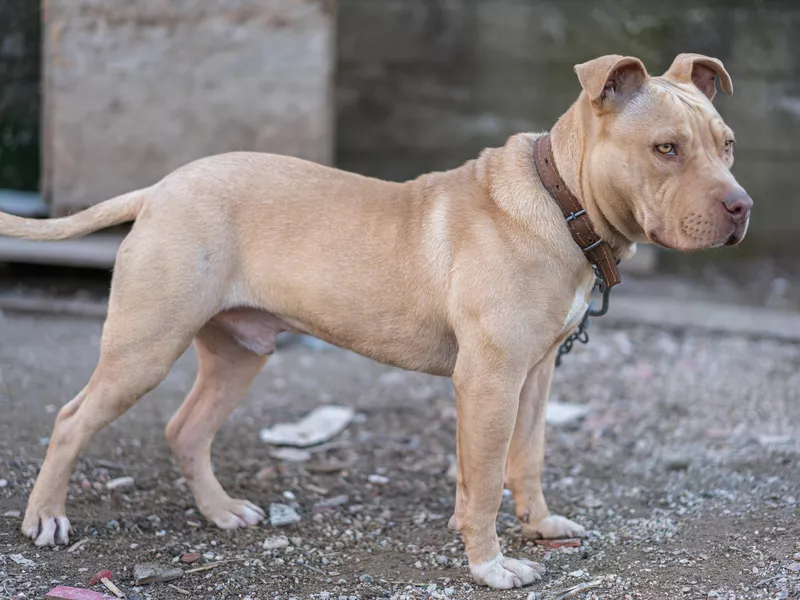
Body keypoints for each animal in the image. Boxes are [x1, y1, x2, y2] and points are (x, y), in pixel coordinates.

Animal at [0, 54, 752, 588]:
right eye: (666, 148)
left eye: (727, 144)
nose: (742, 206)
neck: (560, 199)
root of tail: (160, 188)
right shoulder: (490, 379)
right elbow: (486, 477)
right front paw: (490, 565)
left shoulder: (533, 375)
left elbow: (523, 459)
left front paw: (535, 527)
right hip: (145, 348)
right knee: (73, 418)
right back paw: (46, 517)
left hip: (239, 352)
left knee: (185, 430)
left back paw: (221, 512)